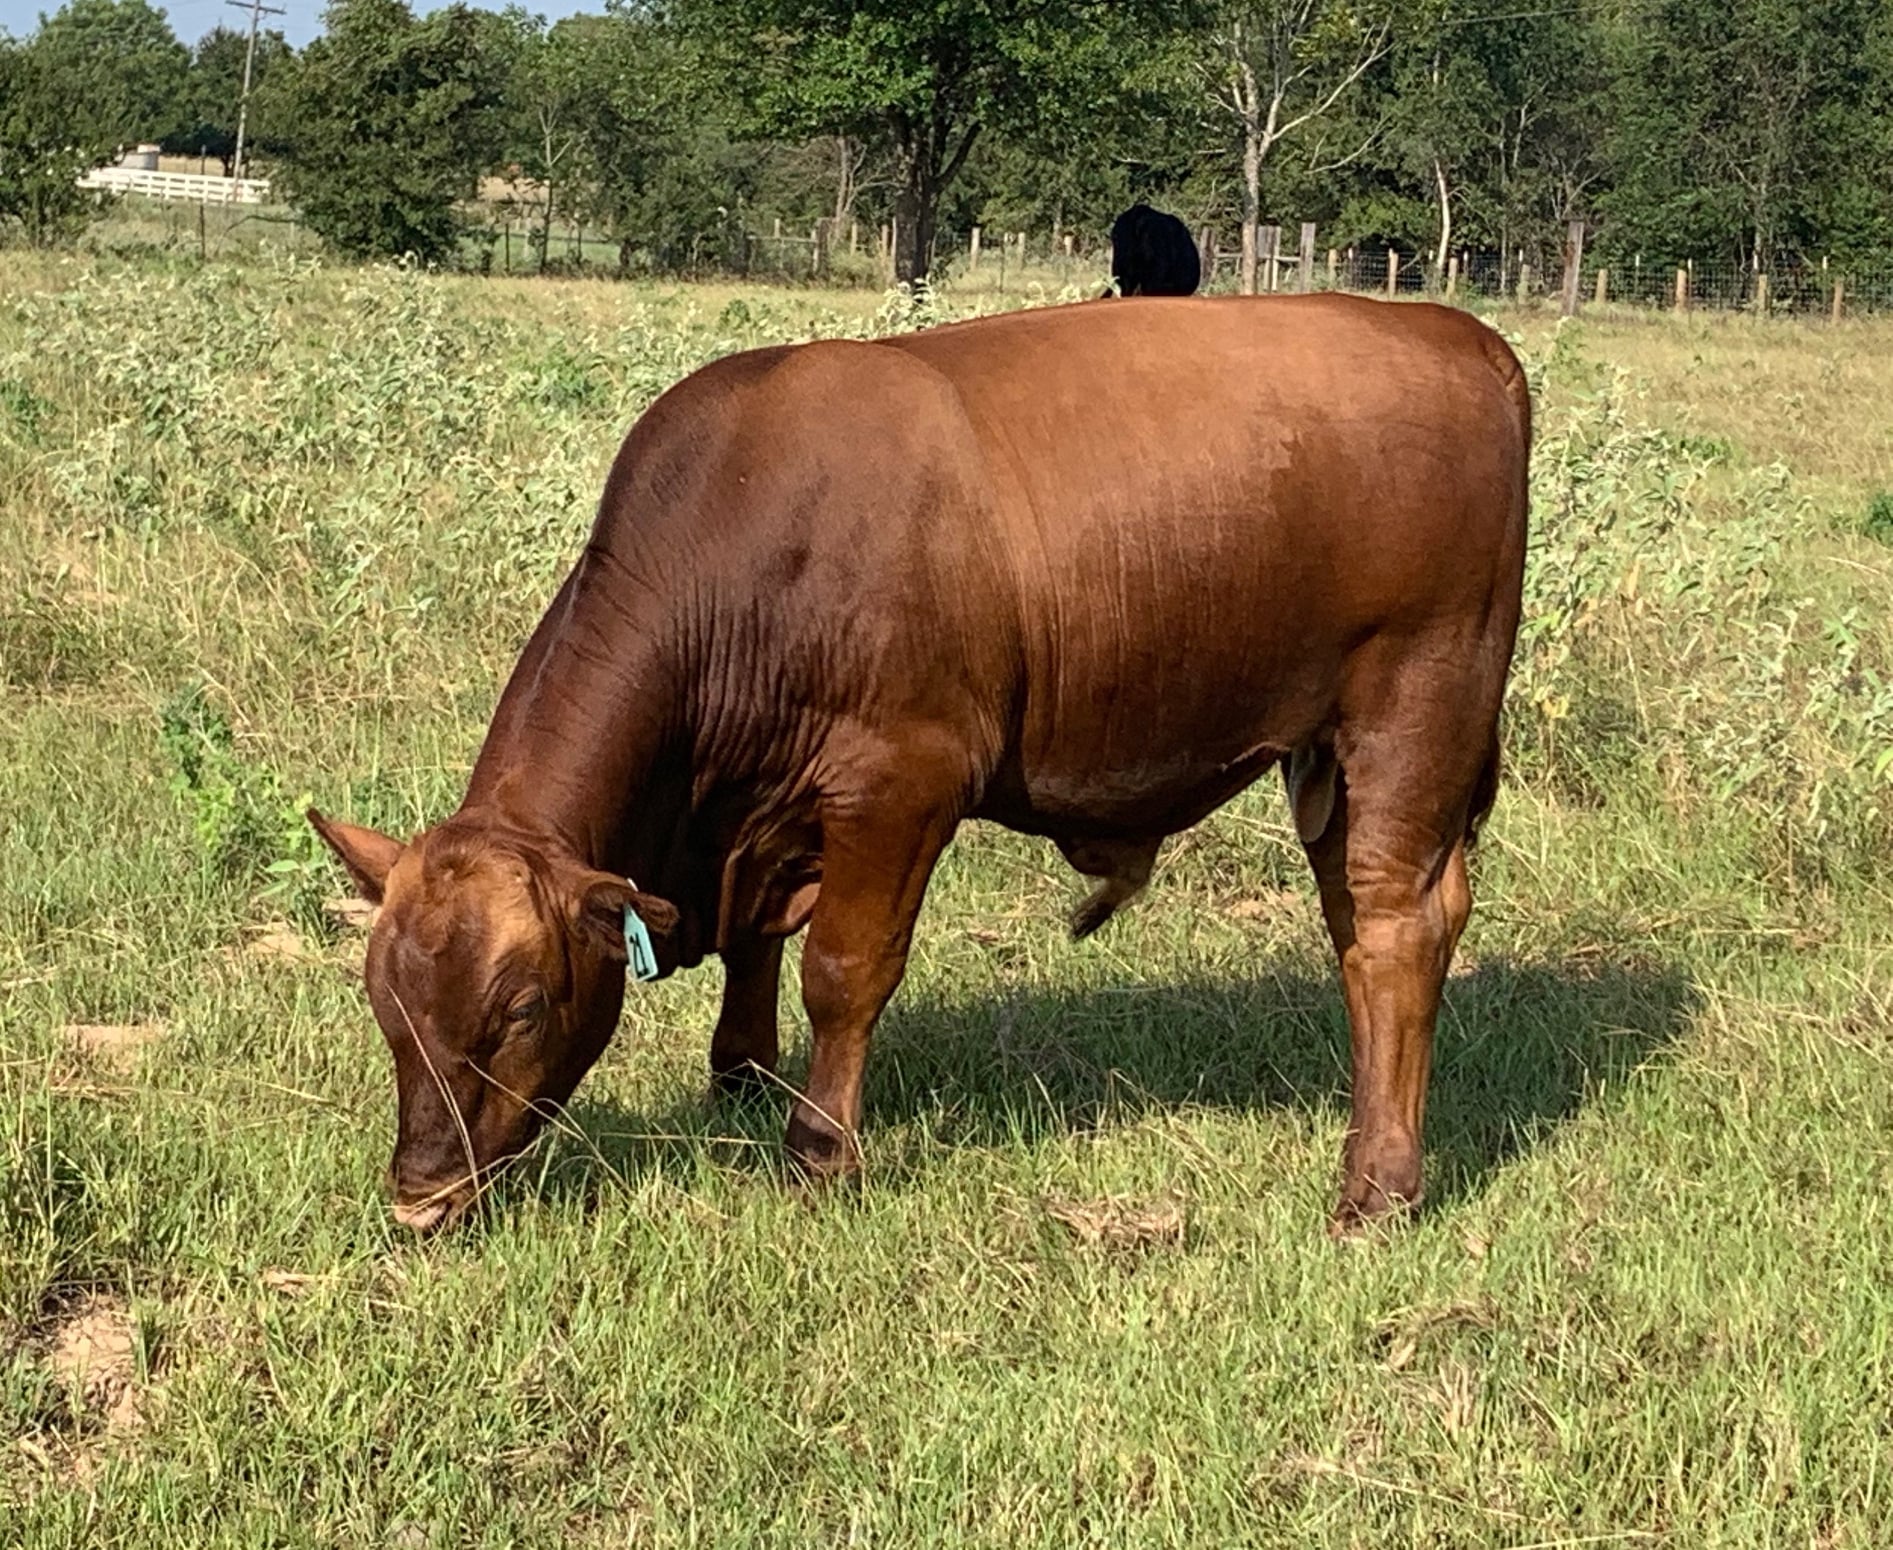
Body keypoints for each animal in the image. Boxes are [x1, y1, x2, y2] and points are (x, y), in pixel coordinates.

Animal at [309, 292, 1531, 1240]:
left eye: (520, 1006)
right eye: (383, 999)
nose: (419, 1196)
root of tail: (1463, 337)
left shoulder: (899, 784)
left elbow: (842, 970)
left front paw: (815, 1148)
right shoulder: (762, 821)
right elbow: (756, 950)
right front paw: (738, 1077)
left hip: (1413, 718)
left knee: (1396, 932)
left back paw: (1376, 1188)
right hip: (1330, 760)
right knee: (1356, 932)